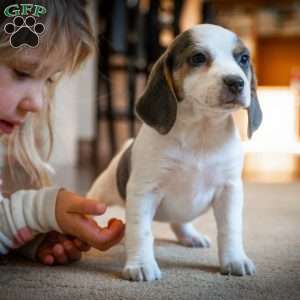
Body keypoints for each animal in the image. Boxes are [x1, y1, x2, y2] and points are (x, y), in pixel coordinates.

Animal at [87, 23, 262, 282]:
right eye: (198, 58)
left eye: (243, 59)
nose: (236, 82)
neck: (200, 131)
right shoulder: (144, 191)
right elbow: (141, 232)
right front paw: (141, 264)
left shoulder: (229, 190)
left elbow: (230, 229)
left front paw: (235, 259)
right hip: (101, 194)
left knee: (178, 222)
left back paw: (190, 235)